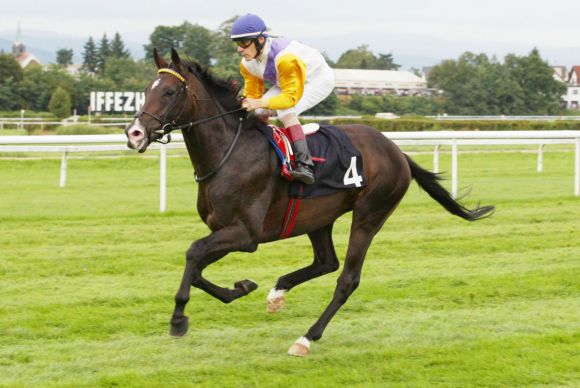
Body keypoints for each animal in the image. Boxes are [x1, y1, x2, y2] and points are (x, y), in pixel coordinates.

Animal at [124, 49, 492, 358]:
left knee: (346, 279)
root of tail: (398, 152)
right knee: (326, 262)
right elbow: (198, 267)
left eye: (169, 92)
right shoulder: (224, 230)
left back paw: (305, 338)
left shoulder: (246, 234)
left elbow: (193, 252)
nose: (134, 133)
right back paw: (278, 293)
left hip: (369, 216)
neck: (230, 152)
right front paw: (242, 287)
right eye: (146, 89)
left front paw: (178, 319)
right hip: (319, 218)